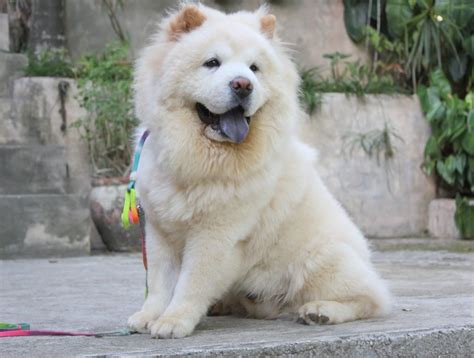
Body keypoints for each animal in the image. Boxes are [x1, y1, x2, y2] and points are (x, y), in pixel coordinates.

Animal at [128, 2, 390, 338]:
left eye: (254, 68)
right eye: (212, 63)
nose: (242, 85)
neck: (200, 159)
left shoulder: (216, 235)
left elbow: (191, 283)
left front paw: (173, 322)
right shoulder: (160, 230)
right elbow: (159, 282)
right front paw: (148, 316)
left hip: (323, 257)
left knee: (370, 298)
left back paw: (320, 311)